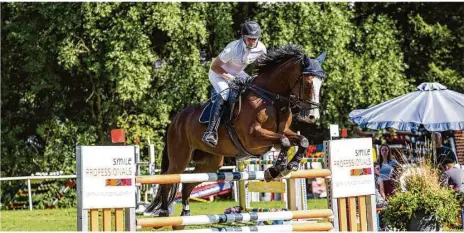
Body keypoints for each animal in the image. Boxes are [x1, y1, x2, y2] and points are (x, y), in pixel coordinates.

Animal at [145, 43, 326, 229]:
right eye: (308, 83)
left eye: (321, 82)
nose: (312, 117)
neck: (270, 98)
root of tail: (176, 120)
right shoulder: (253, 137)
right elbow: (283, 142)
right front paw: (276, 169)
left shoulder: (281, 133)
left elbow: (302, 141)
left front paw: (288, 166)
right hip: (180, 158)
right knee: (168, 179)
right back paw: (163, 214)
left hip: (210, 163)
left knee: (188, 184)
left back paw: (184, 216)